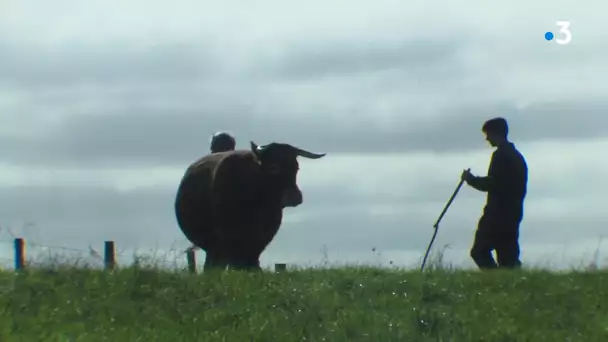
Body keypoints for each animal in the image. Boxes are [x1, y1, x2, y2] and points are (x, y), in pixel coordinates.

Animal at [175, 140, 328, 272]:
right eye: (274, 166)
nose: (294, 197)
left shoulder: (265, 232)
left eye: (296, 167)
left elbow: (253, 256)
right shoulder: (227, 233)